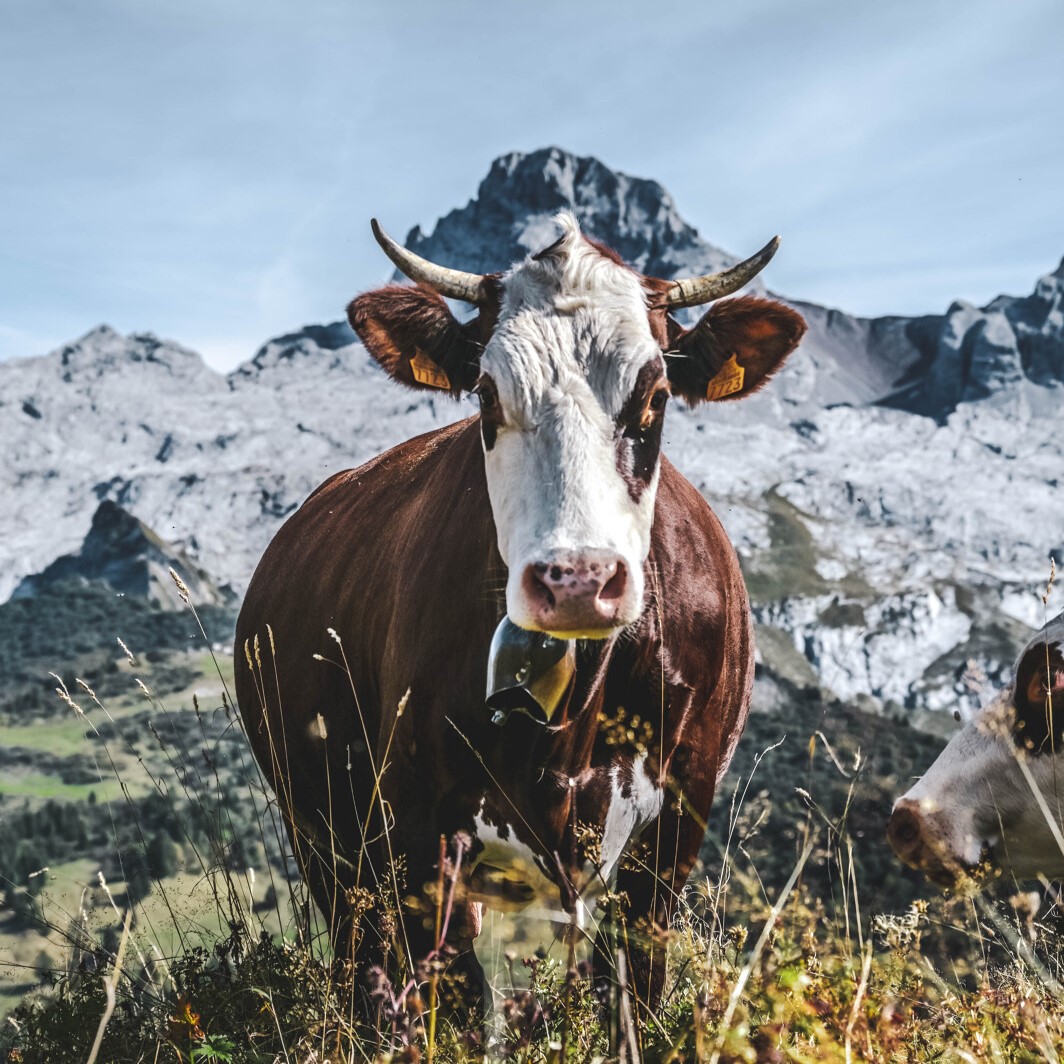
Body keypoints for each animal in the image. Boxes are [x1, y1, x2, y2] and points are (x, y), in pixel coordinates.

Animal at [235, 213, 804, 1012]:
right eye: (485, 394)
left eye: (655, 396)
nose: (576, 580)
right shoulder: (418, 822)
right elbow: (459, 996)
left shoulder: (677, 822)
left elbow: (633, 983)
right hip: (320, 829)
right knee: (362, 956)